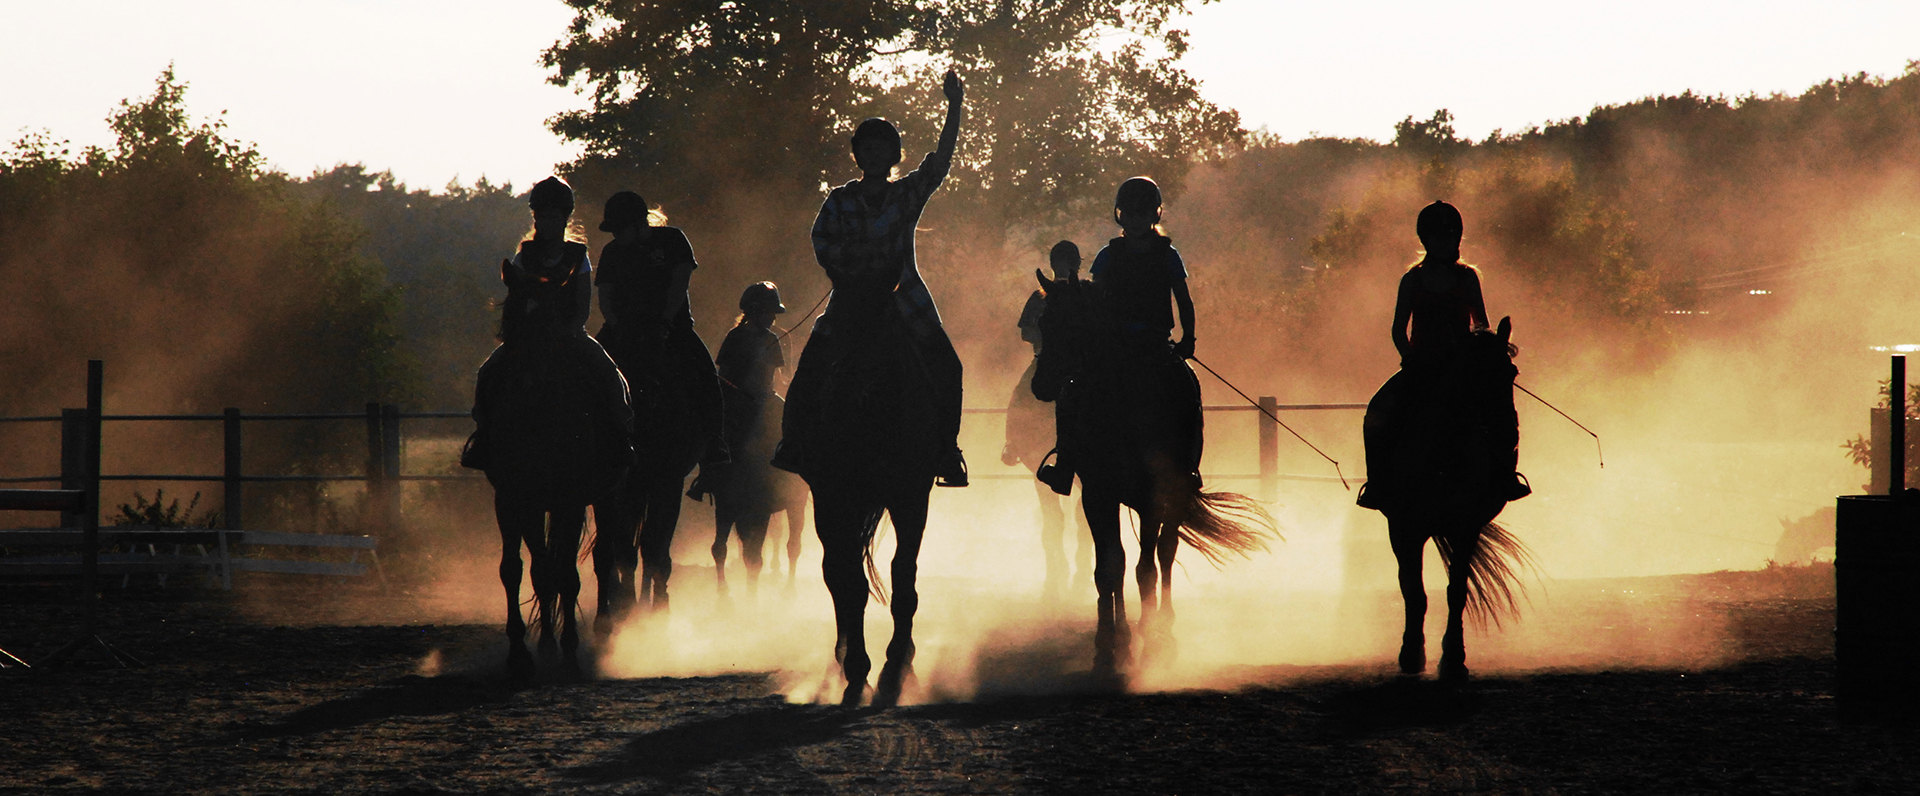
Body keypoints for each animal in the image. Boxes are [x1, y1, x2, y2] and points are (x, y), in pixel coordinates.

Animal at [472, 337, 629, 686]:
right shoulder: (512, 501)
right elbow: (521, 571)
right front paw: (524, 655)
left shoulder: (568, 502)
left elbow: (567, 576)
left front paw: (569, 655)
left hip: (606, 497)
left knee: (603, 557)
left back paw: (603, 631)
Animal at [714, 389, 810, 602]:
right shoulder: (726, 503)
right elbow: (720, 548)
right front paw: (723, 596)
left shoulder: (760, 510)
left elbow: (754, 556)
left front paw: (751, 600)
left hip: (795, 503)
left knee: (793, 545)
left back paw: (788, 589)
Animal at [1029, 270, 1282, 675]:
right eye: (1043, 323)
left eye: (1072, 325)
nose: (1041, 385)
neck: (1121, 399)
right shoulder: (1097, 495)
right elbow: (1110, 566)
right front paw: (1110, 639)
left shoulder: (1151, 496)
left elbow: (1146, 567)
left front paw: (1149, 637)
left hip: (1174, 494)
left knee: (1165, 552)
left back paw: (1164, 626)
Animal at [1359, 314, 1536, 682]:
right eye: (1474, 372)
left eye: (1511, 372)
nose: (1508, 433)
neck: (1444, 449)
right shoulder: (1404, 528)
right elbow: (1413, 591)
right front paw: (1412, 654)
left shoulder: (1466, 526)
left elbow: (1457, 591)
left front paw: (1454, 658)